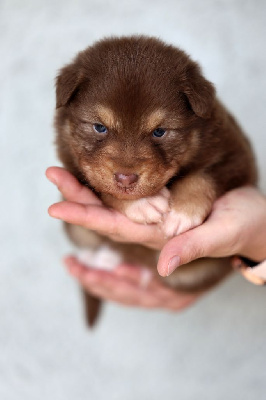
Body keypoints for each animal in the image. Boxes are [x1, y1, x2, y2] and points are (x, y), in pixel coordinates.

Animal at [53, 36, 256, 326]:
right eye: (99, 127)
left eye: (159, 132)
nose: (126, 177)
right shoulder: (74, 165)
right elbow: (101, 187)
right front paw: (143, 204)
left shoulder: (238, 157)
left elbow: (204, 177)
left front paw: (182, 213)